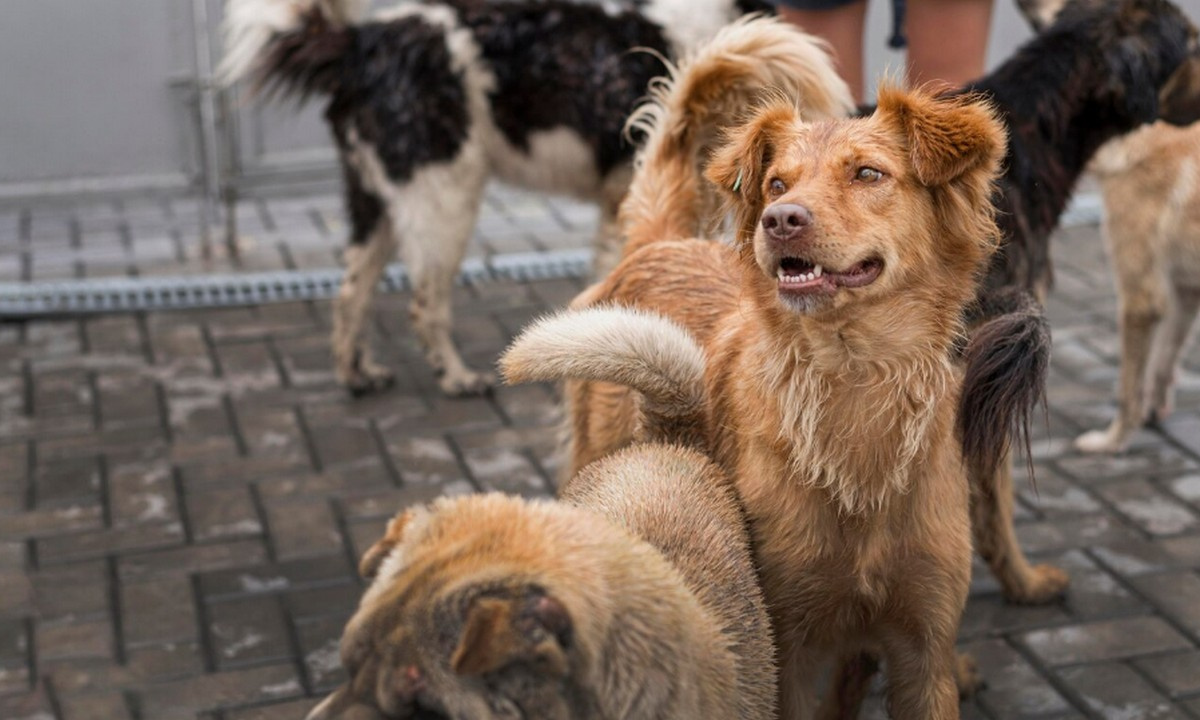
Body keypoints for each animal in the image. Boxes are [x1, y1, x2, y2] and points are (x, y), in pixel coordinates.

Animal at [218, 0, 854, 393]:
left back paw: (357, 375)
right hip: (443, 196)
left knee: (351, 291)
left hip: (376, 200)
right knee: (425, 301)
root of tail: (360, 41)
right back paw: (456, 377)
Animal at [523, 40, 1012, 720]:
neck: (852, 381)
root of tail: (659, 244)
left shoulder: (924, 653)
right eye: (778, 183)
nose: (780, 219)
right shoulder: (784, 648)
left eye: (868, 174)